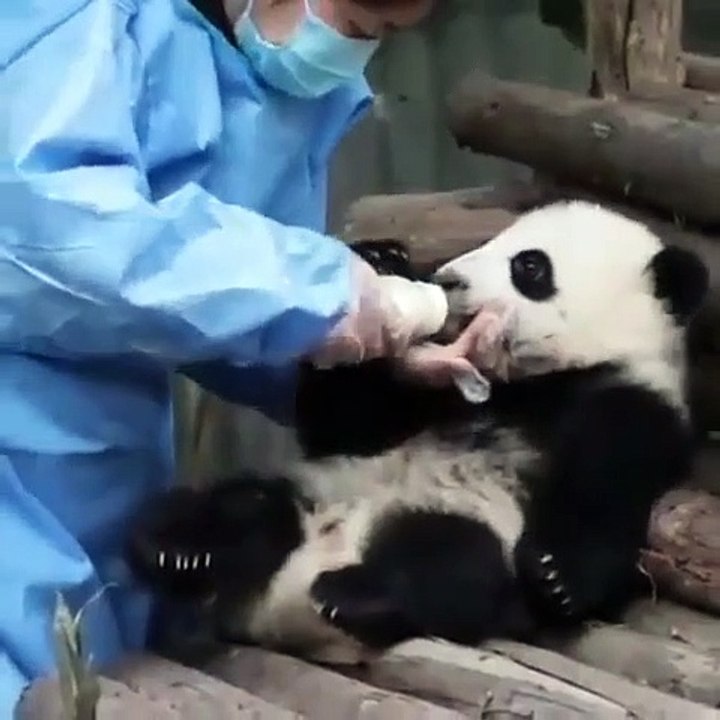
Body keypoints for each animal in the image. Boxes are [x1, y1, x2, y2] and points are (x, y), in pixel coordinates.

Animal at [129, 200, 709, 665]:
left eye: (530, 265)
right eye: (487, 242)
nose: (448, 281)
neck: (536, 382)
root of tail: (283, 599)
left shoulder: (630, 401)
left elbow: (606, 494)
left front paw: (555, 574)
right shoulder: (422, 401)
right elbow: (348, 421)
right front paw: (381, 267)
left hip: (456, 516)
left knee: (448, 565)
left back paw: (353, 593)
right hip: (317, 486)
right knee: (246, 504)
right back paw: (176, 547)